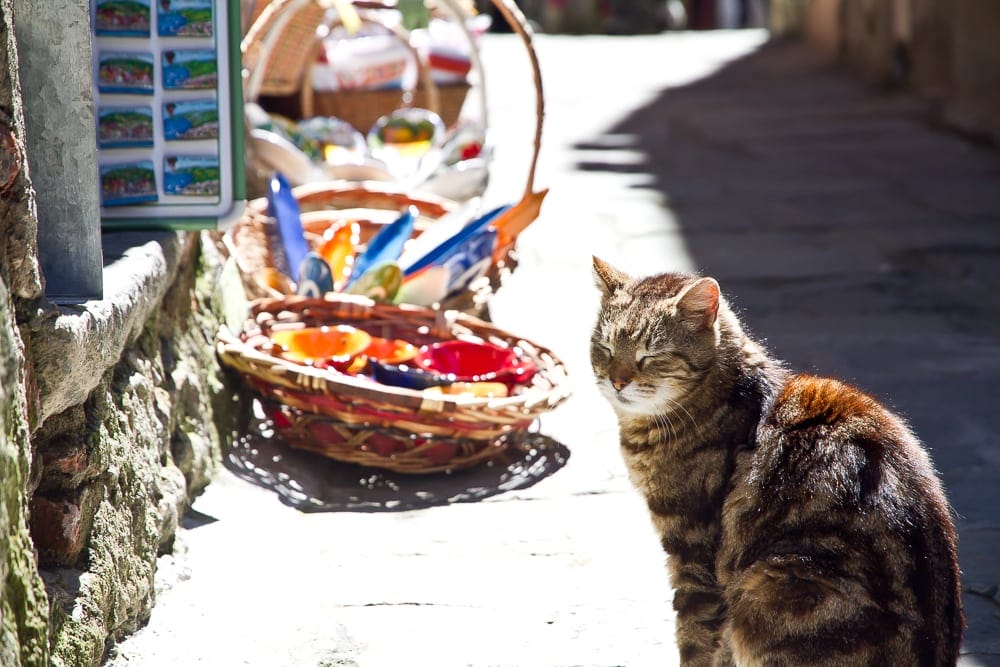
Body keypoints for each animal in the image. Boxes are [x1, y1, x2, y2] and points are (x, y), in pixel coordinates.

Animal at [588, 258, 964, 667]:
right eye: (605, 347)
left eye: (650, 355)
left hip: (768, 586)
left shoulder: (695, 555)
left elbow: (697, 641)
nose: (617, 381)